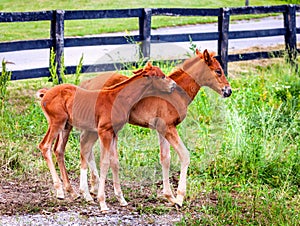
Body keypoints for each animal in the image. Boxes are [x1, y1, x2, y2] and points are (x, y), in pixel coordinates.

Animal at [37, 62, 178, 212]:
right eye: (162, 76)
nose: (174, 85)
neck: (119, 98)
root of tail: (46, 94)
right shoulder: (104, 131)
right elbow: (104, 162)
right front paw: (102, 202)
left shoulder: (114, 132)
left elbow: (114, 162)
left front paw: (121, 199)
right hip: (56, 122)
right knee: (44, 146)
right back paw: (60, 191)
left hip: (66, 126)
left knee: (59, 150)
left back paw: (73, 192)